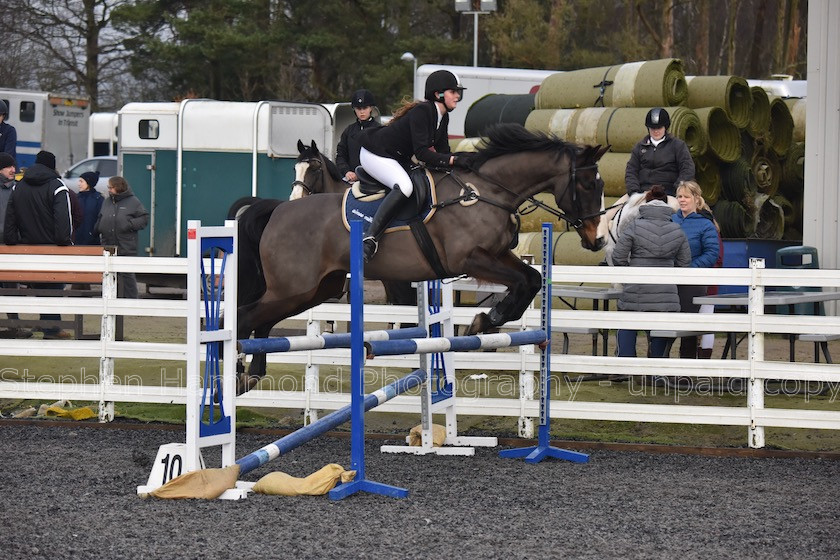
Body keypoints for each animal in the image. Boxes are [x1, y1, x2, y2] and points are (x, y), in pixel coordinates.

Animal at [236, 124, 612, 392]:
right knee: (244, 317)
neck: (485, 191)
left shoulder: (497, 254)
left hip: (315, 289)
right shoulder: (470, 259)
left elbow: (531, 279)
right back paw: (236, 373)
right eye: (589, 185)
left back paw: (251, 373)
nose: (598, 239)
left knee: (262, 321)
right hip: (295, 288)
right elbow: (522, 281)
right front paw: (485, 321)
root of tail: (277, 209)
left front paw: (487, 320)